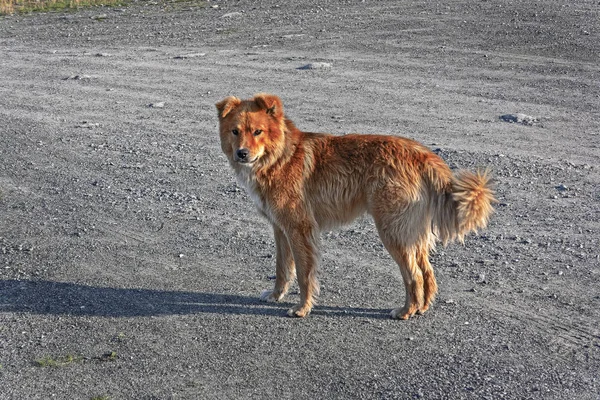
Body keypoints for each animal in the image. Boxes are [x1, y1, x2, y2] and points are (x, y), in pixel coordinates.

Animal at [216, 93, 496, 318]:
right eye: (235, 131)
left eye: (258, 132)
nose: (242, 153)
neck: (278, 157)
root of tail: (421, 155)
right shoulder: (281, 228)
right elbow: (283, 268)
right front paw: (276, 295)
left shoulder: (299, 229)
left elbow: (305, 274)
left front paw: (302, 308)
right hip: (411, 232)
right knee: (427, 272)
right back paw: (422, 308)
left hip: (393, 231)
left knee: (413, 275)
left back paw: (406, 311)